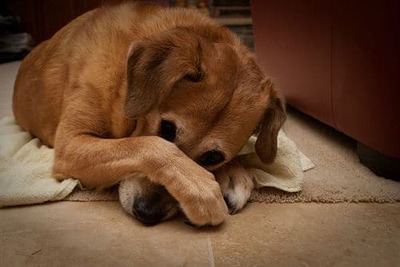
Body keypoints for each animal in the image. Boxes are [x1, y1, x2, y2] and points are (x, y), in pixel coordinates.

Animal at [12, 3, 286, 227]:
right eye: (166, 129)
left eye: (213, 157)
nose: (146, 213)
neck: (123, 85)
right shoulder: (70, 144)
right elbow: (147, 146)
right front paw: (200, 189)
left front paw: (233, 174)